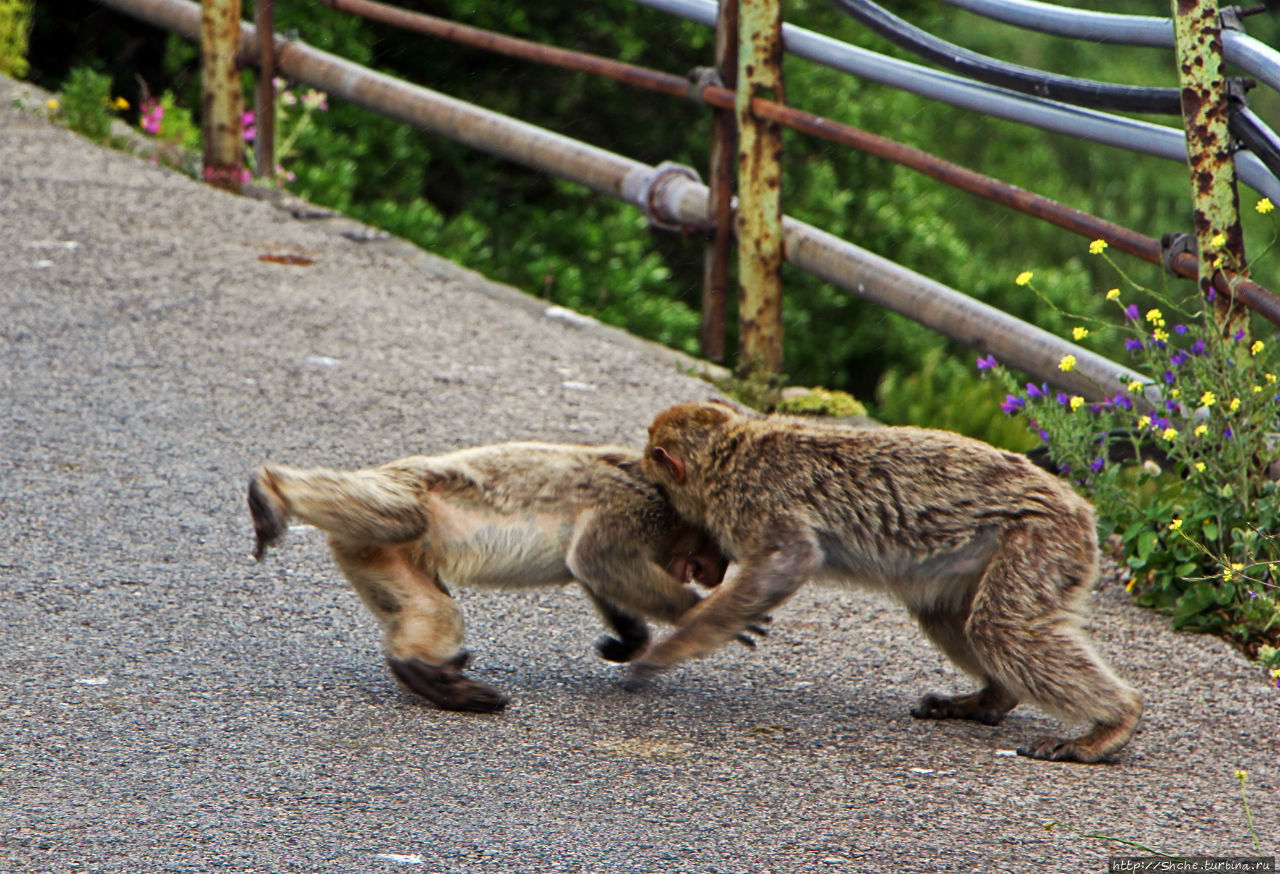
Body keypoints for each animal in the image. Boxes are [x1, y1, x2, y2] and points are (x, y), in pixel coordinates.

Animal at [248, 440, 747, 716]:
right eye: (721, 551)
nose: (720, 574)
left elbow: (593, 571)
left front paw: (630, 641)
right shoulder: (637, 509)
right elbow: (598, 560)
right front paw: (701, 612)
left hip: (377, 555)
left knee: (434, 608)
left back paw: (422, 671)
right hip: (407, 495)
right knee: (399, 514)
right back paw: (271, 490)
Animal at [629, 404, 1141, 767]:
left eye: (658, 482)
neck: (730, 452)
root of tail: (1081, 508)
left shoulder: (753, 502)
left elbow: (790, 561)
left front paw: (670, 648)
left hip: (1042, 542)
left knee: (1001, 629)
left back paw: (1115, 723)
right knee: (945, 613)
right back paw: (992, 699)